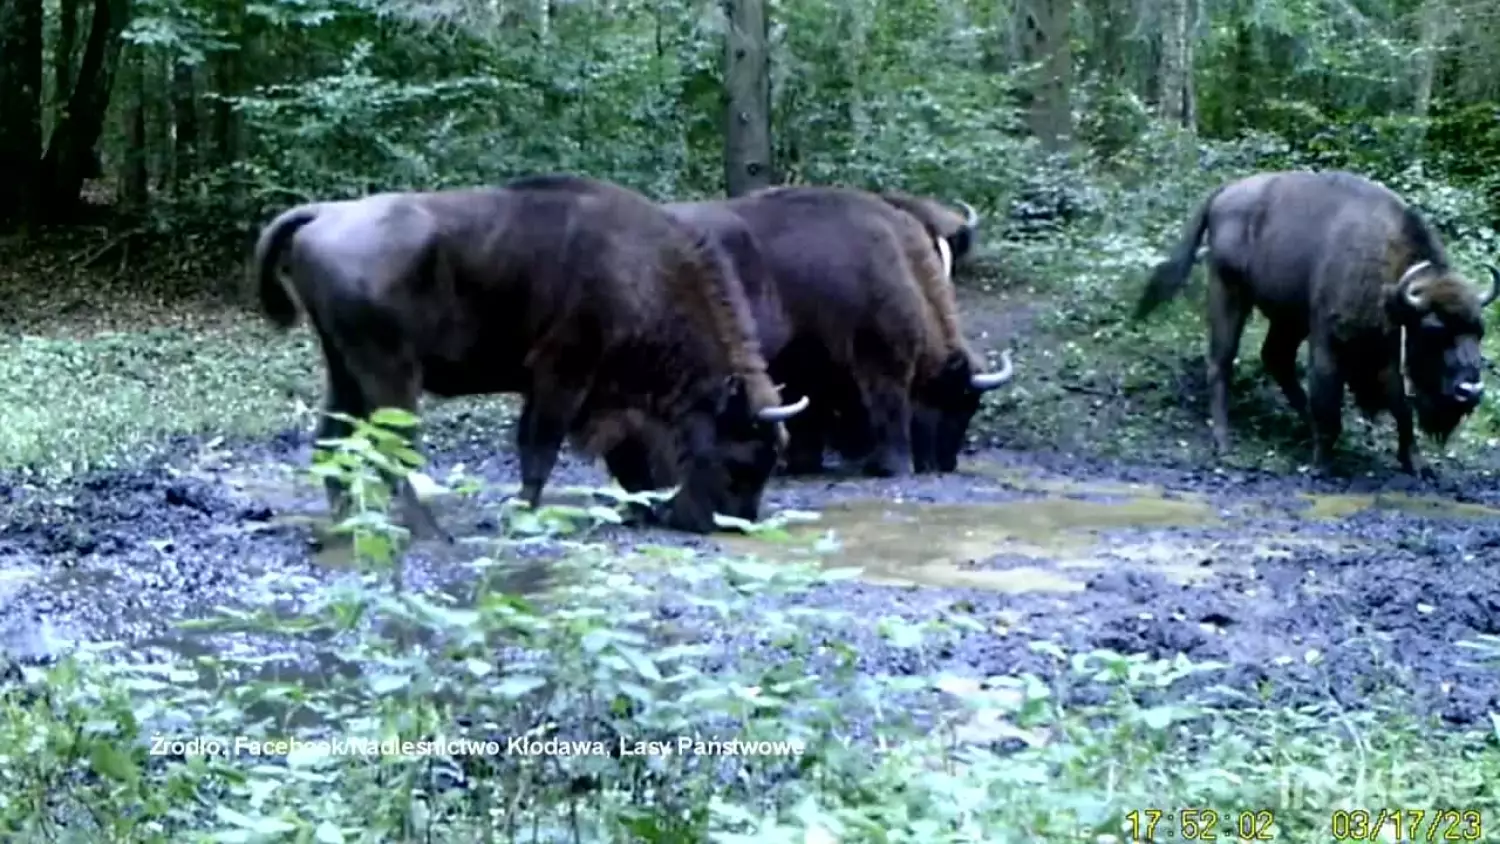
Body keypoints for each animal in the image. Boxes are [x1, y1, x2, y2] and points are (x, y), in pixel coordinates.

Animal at [249, 175, 810, 539]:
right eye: (741, 455)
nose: (731, 524)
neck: (642, 271)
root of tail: (326, 212)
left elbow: (620, 455)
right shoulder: (562, 375)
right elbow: (539, 449)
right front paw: (524, 515)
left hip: (342, 367)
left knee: (331, 438)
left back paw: (348, 522)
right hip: (391, 373)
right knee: (394, 448)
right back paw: (429, 531)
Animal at [1134, 170, 1500, 476]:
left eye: (1479, 332)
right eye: (1434, 330)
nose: (1470, 391)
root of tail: (1224, 192)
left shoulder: (1383, 349)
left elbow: (1400, 406)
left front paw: (1416, 464)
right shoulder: (1328, 341)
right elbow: (1329, 398)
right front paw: (1322, 463)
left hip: (1287, 318)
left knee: (1276, 358)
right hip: (1229, 292)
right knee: (1221, 362)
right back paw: (1223, 442)